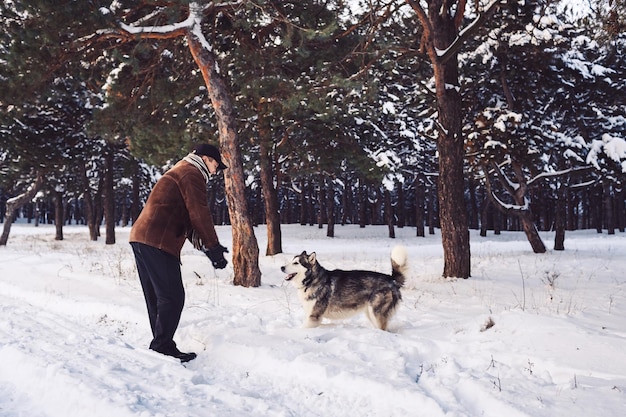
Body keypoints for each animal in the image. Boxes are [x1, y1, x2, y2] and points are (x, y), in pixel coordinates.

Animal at [280, 245, 408, 330]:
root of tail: (391, 279)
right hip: (370, 313)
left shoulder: (313, 316)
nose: (281, 267)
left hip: (376, 313)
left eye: (296, 263)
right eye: (292, 261)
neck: (312, 280)